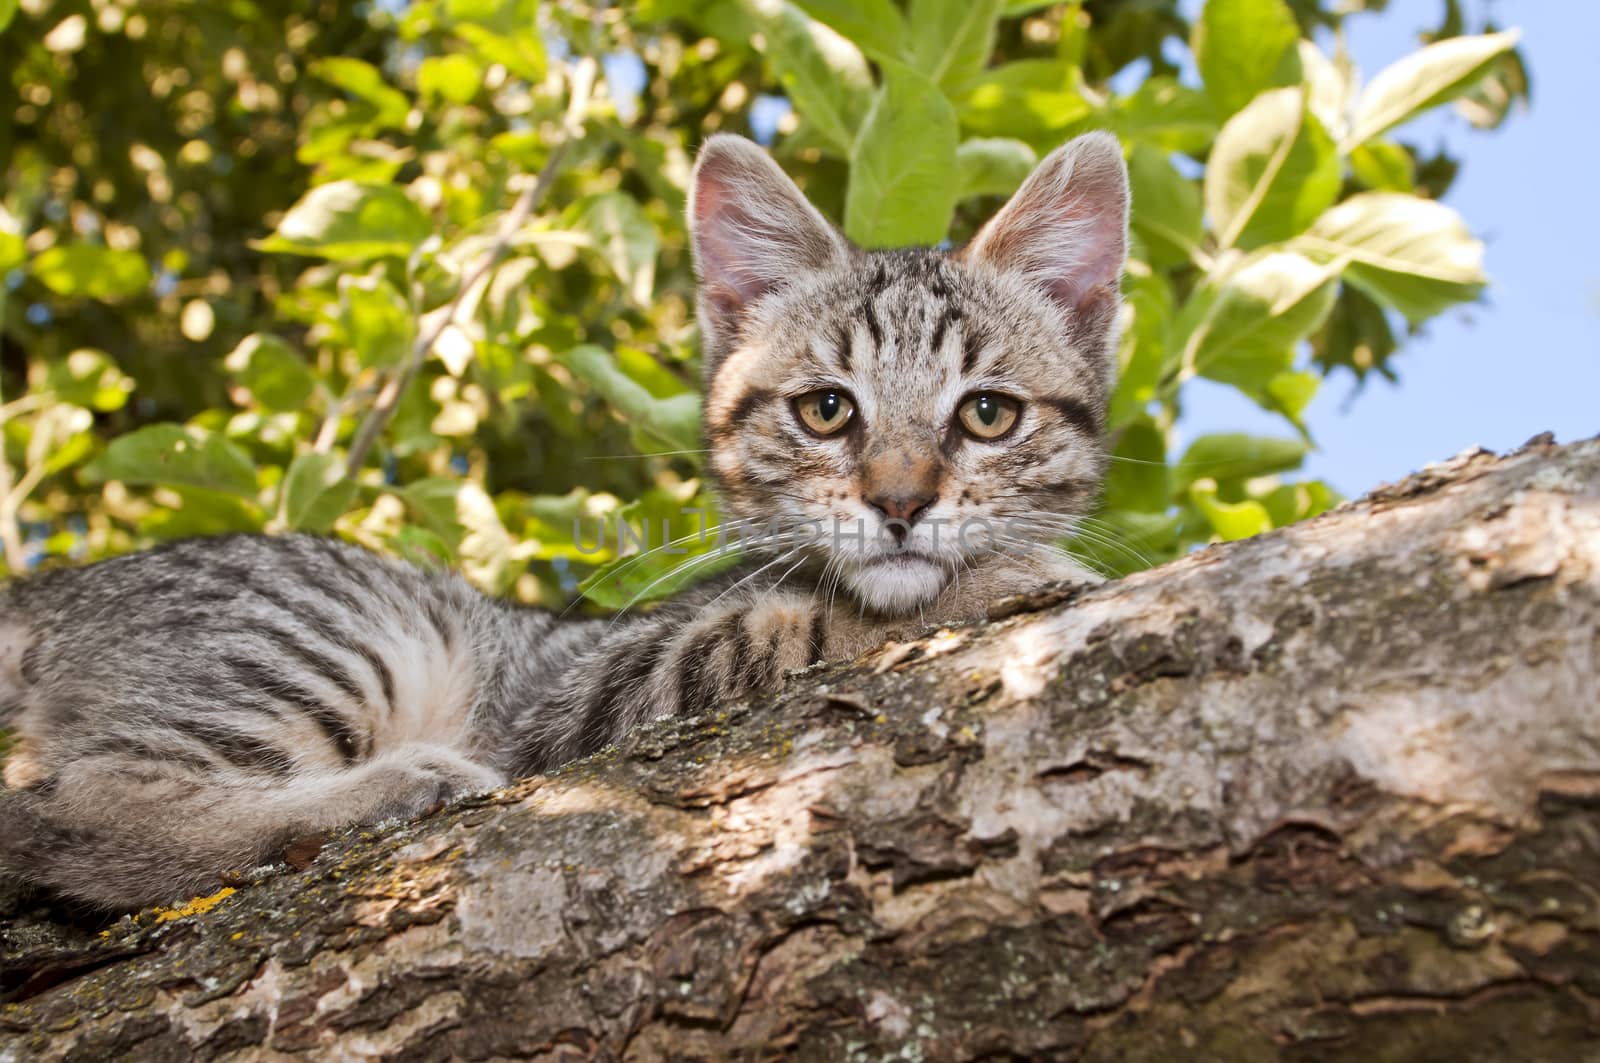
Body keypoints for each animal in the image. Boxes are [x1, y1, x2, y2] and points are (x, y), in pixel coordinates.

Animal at [0, 130, 1132, 902]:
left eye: (986, 413)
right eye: (826, 409)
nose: (899, 501)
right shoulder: (583, 697)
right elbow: (795, 627)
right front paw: (1004, 579)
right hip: (337, 634)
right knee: (63, 810)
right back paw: (386, 787)